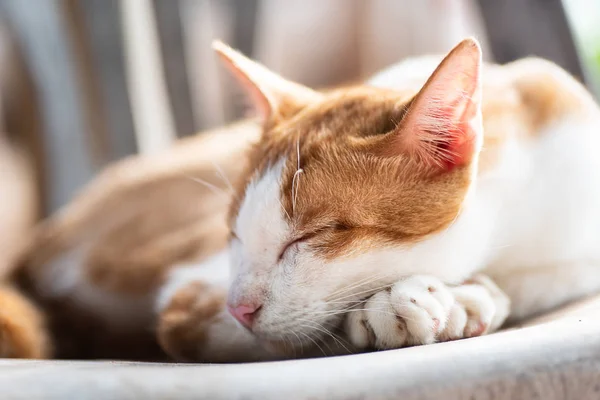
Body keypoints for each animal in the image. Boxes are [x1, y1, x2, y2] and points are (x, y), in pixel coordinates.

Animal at [16, 37, 600, 362]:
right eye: (234, 235)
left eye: (312, 236)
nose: (240, 306)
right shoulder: (193, 286)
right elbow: (193, 323)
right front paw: (412, 305)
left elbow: (555, 273)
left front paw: (466, 294)